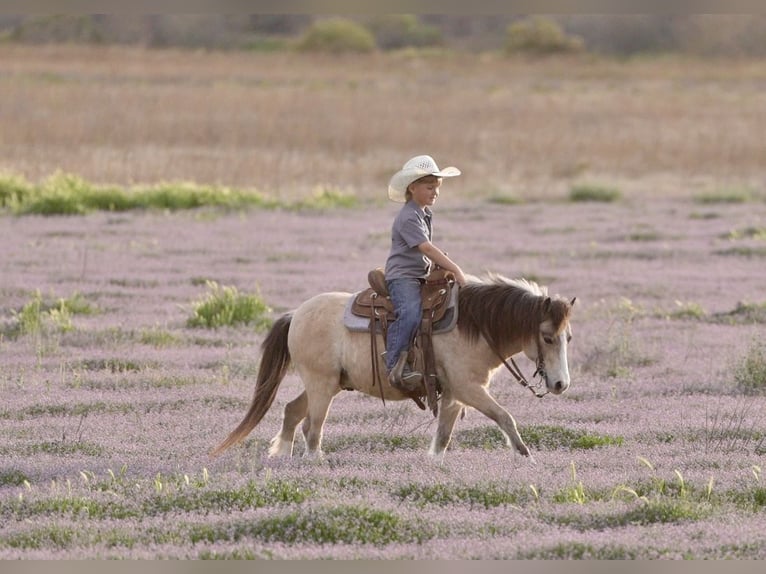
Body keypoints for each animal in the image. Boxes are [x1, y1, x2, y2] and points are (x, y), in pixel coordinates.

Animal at [212, 274, 575, 459]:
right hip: (320, 385)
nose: (561, 385)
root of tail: (295, 315)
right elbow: (504, 417)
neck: (472, 325)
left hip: (328, 384)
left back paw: (280, 457)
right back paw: (314, 464)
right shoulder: (469, 388)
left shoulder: (454, 394)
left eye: (568, 337)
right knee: (313, 429)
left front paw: (434, 466)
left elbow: (443, 436)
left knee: (293, 413)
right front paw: (525, 455)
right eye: (547, 337)